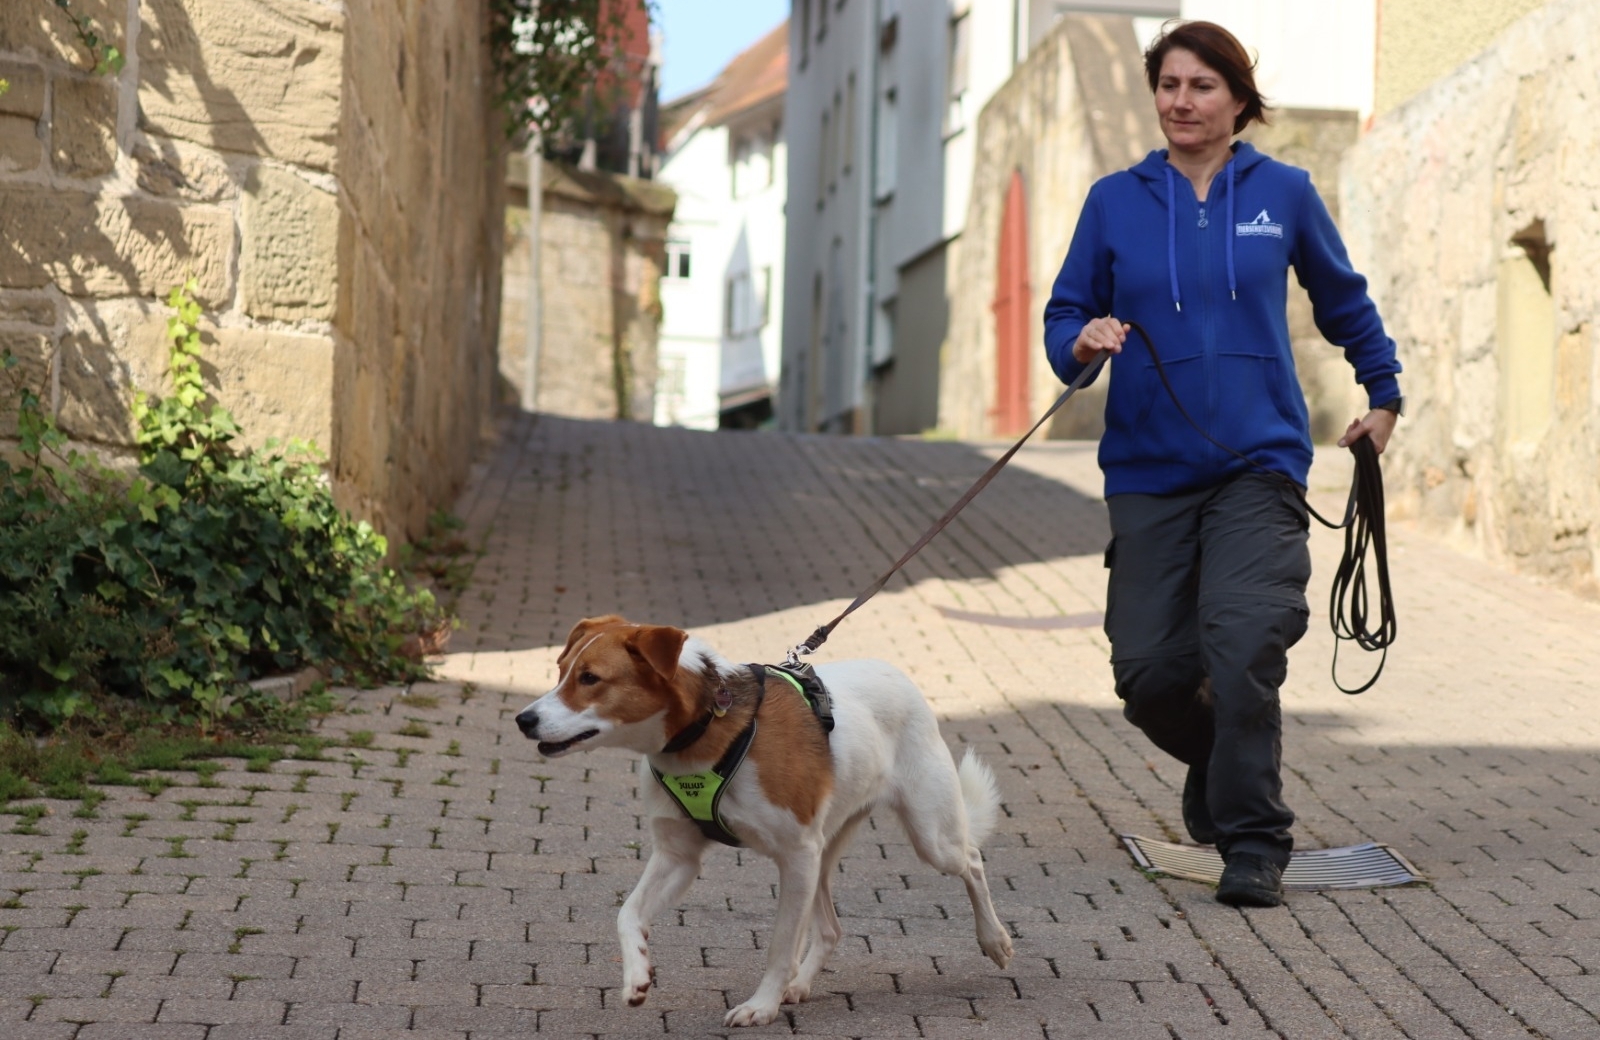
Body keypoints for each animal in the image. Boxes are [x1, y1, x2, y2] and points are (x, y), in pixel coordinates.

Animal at [514, 615, 1014, 1028]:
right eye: (561, 672)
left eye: (590, 678)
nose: (523, 719)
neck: (706, 727)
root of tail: (895, 671)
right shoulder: (679, 856)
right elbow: (627, 913)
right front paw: (637, 973)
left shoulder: (794, 854)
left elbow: (778, 945)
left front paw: (761, 1006)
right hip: (821, 854)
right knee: (830, 929)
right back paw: (800, 984)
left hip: (927, 836)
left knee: (971, 860)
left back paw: (994, 939)